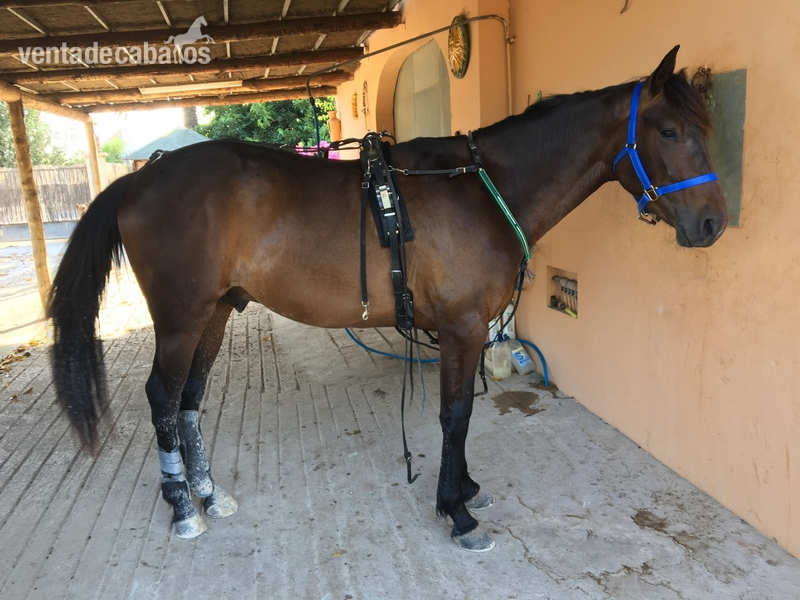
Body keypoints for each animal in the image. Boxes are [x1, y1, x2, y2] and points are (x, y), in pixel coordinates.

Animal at [48, 46, 726, 552]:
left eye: (706, 129)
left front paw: (465, 489)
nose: (713, 224)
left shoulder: (464, 330)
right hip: (181, 320)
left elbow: (461, 414)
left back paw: (210, 495)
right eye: (668, 131)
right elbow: (456, 415)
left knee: (188, 400)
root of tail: (142, 177)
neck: (482, 188)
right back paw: (183, 507)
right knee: (163, 399)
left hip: (212, 314)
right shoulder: (461, 328)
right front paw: (457, 511)